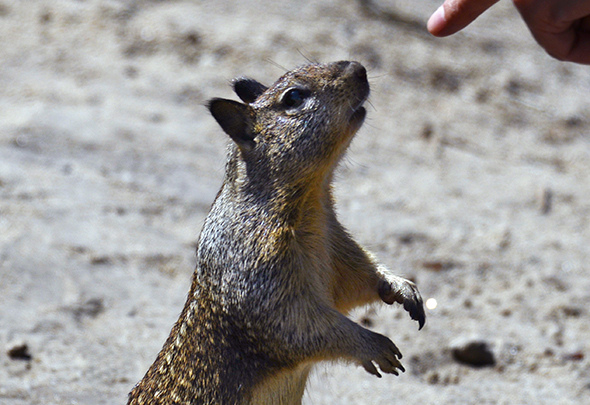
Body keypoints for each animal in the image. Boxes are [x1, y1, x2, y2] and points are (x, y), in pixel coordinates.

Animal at [128, 60, 426, 404]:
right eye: (294, 97)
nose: (359, 67)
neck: (313, 202)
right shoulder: (262, 279)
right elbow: (302, 328)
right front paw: (374, 345)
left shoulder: (338, 247)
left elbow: (360, 279)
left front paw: (401, 287)